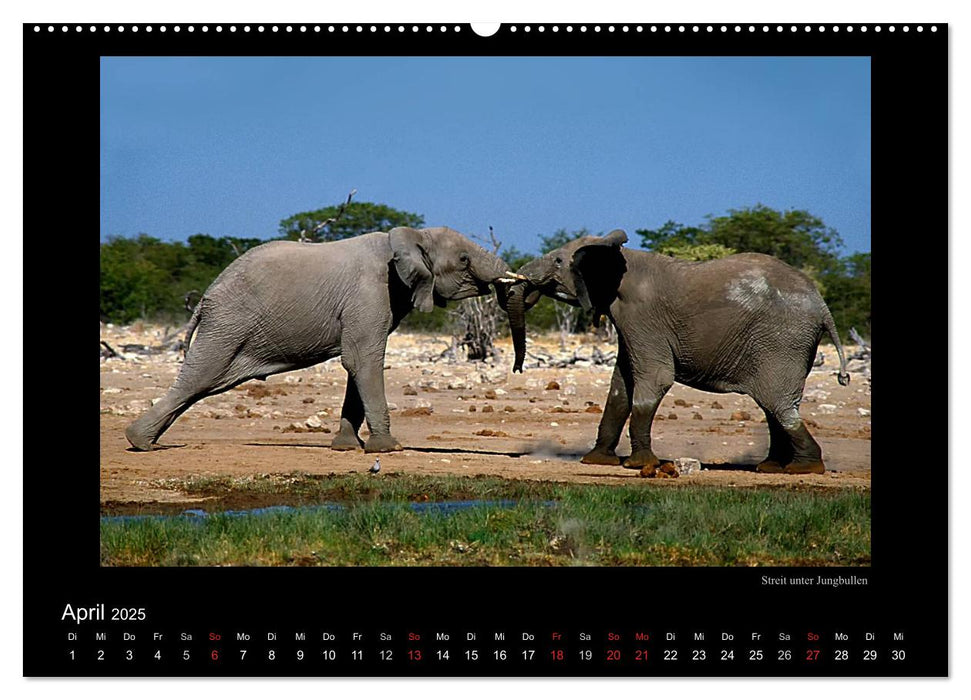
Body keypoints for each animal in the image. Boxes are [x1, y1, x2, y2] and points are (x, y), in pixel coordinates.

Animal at [125, 227, 520, 452]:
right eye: (464, 259)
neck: (407, 237)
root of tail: (205, 296)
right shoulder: (370, 292)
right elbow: (363, 360)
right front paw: (388, 450)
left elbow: (355, 366)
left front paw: (345, 448)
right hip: (228, 323)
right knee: (198, 378)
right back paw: (140, 443)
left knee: (203, 384)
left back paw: (144, 440)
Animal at [504, 230, 848, 476]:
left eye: (558, 261)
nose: (518, 368)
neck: (620, 256)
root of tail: (823, 307)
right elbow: (621, 386)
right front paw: (596, 461)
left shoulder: (642, 318)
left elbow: (654, 380)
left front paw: (638, 464)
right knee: (773, 404)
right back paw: (771, 467)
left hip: (782, 341)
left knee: (778, 403)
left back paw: (805, 468)